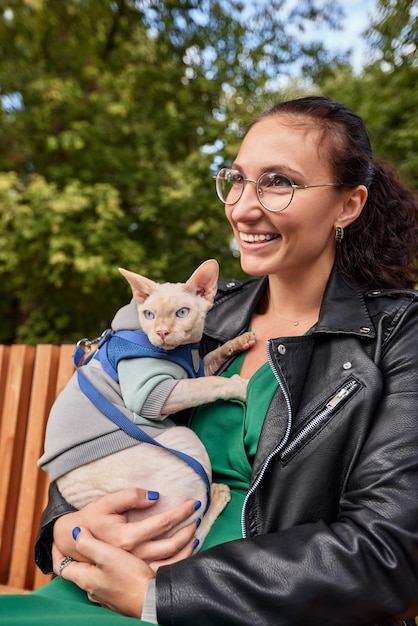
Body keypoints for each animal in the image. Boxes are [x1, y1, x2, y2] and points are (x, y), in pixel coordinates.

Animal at [39, 258, 255, 544]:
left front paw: (240, 340)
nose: (161, 332)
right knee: (187, 534)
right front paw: (240, 387)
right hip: (187, 442)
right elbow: (208, 384)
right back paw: (219, 494)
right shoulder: (152, 393)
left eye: (182, 313)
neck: (183, 351)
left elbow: (212, 361)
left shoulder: (196, 367)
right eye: (149, 315)